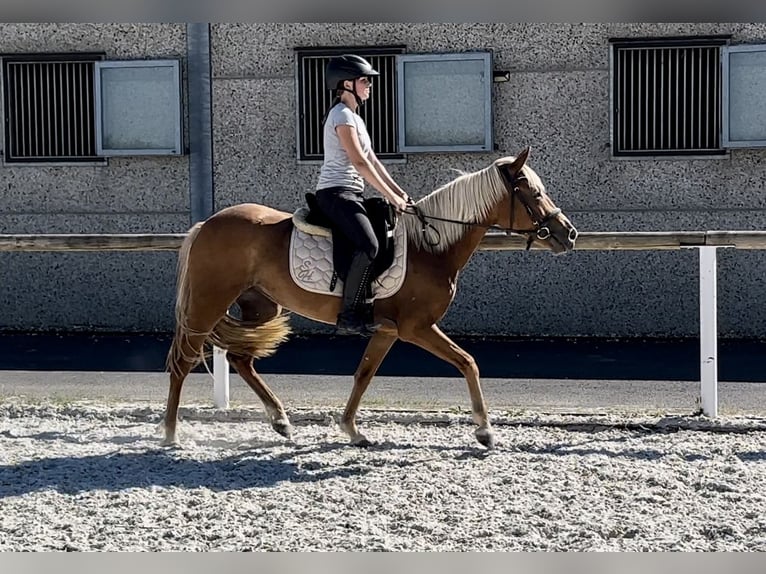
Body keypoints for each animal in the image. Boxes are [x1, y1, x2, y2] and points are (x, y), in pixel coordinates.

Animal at [165, 147, 580, 450]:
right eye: (533, 193)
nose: (569, 234)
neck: (431, 247)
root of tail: (207, 224)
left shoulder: (388, 330)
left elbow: (364, 374)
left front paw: (352, 430)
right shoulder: (416, 328)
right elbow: (468, 362)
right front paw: (485, 431)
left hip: (260, 305)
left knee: (240, 358)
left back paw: (280, 421)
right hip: (208, 303)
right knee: (183, 362)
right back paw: (170, 434)